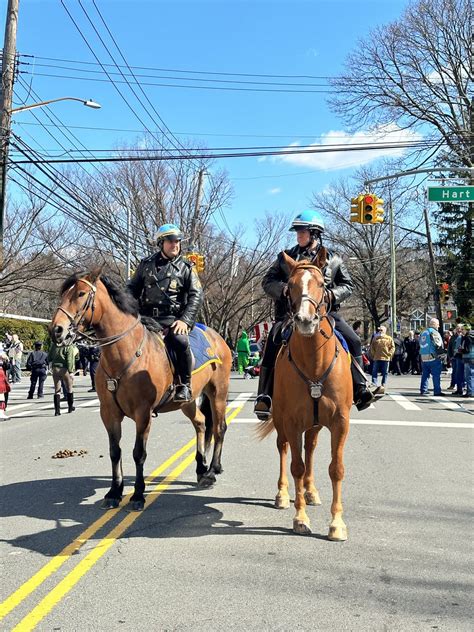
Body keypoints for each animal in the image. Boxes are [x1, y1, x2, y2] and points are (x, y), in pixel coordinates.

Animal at [50, 225, 231, 512]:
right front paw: (114, 491)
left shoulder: (143, 413)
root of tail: (217, 337)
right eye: (63, 294)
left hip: (218, 393)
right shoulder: (109, 412)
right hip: (189, 400)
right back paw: (201, 469)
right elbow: (115, 451)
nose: (57, 330)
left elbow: (138, 453)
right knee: (202, 424)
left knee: (219, 428)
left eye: (80, 294)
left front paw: (137, 494)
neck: (123, 354)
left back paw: (213, 470)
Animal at [258, 249, 354, 540]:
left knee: (310, 449)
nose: (305, 320)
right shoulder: (291, 421)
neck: (314, 363)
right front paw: (299, 518)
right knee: (284, 449)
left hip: (314, 424)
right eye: (289, 285)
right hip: (282, 421)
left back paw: (311, 491)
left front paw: (337, 524)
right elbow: (296, 466)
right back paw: (282, 494)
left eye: (322, 284)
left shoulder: (340, 422)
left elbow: (336, 468)